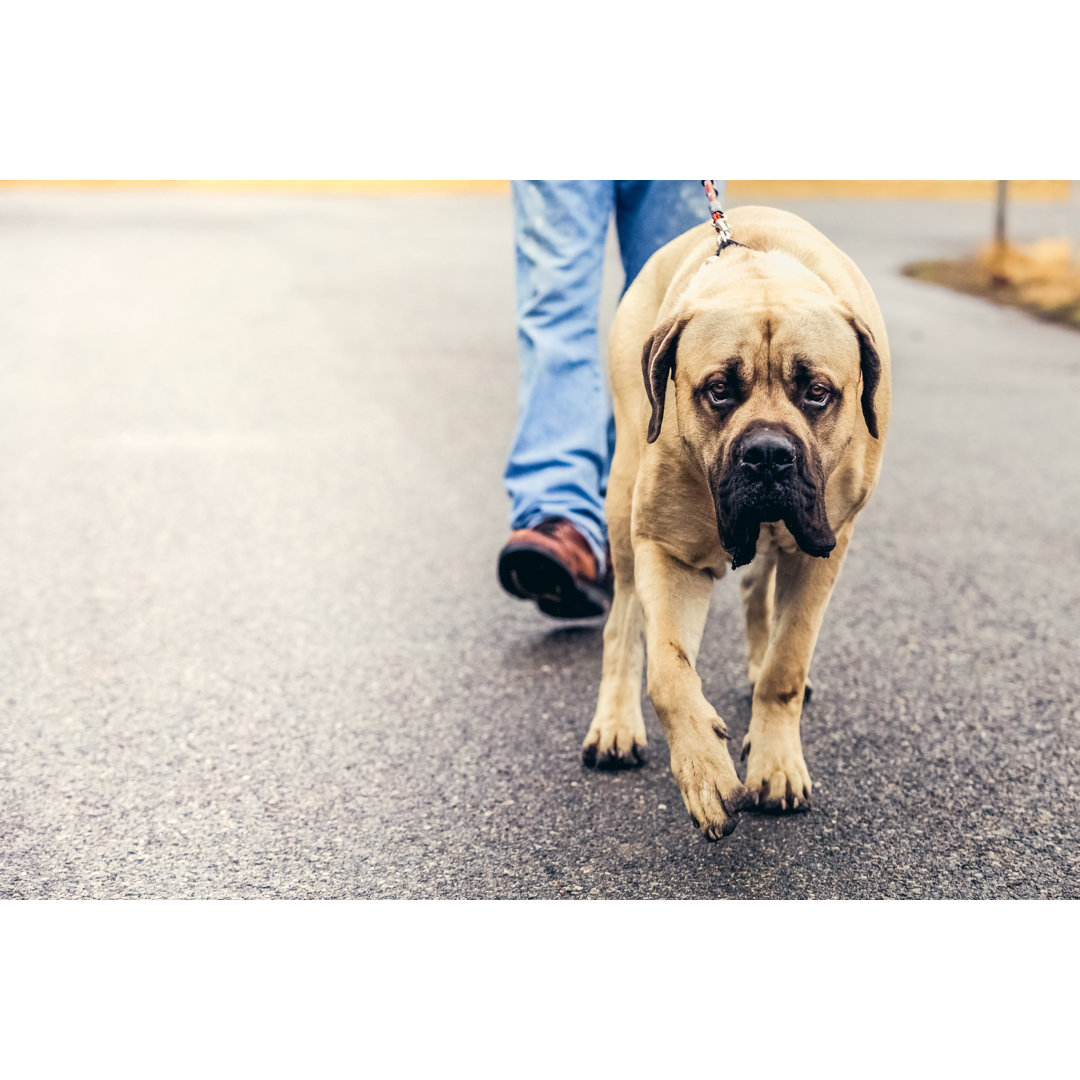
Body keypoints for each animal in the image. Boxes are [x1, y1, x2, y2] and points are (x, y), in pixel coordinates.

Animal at [587, 204, 889, 842]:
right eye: (719, 390)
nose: (768, 454)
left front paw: (775, 764)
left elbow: (786, 664)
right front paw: (704, 770)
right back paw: (616, 725)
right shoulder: (668, 550)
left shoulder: (822, 550)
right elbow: (668, 672)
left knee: (757, 591)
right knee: (623, 621)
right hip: (623, 497)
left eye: (817, 392)